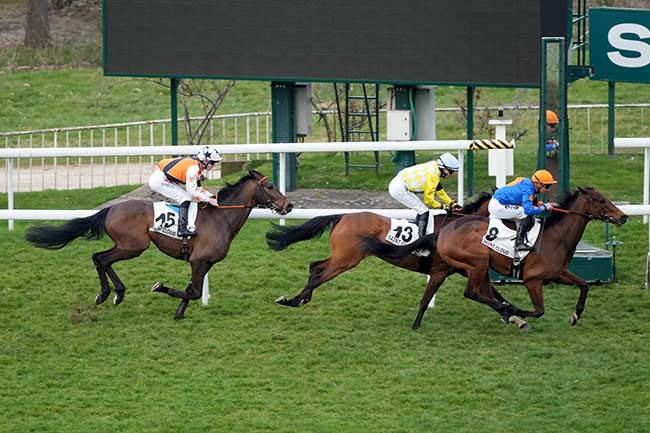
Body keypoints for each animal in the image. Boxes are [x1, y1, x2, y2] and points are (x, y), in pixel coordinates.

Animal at [25, 170, 292, 318]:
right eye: (270, 186)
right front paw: (160, 288)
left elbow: (193, 290)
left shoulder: (204, 263)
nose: (288, 205)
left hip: (127, 245)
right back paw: (109, 294)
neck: (221, 218)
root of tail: (110, 209)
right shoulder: (198, 260)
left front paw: (179, 313)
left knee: (99, 258)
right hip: (134, 246)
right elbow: (193, 291)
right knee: (100, 258)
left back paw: (114, 293)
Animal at [266, 191, 488, 306]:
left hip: (341, 257)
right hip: (345, 261)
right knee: (318, 277)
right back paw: (292, 301)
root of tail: (342, 216)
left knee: (315, 267)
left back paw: (301, 299)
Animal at [362, 186, 624, 328]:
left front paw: (575, 315)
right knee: (471, 292)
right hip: (477, 263)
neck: (554, 238)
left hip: (477, 266)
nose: (622, 217)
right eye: (602, 200)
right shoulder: (532, 280)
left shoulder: (558, 273)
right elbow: (536, 309)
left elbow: (584, 285)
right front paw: (515, 314)